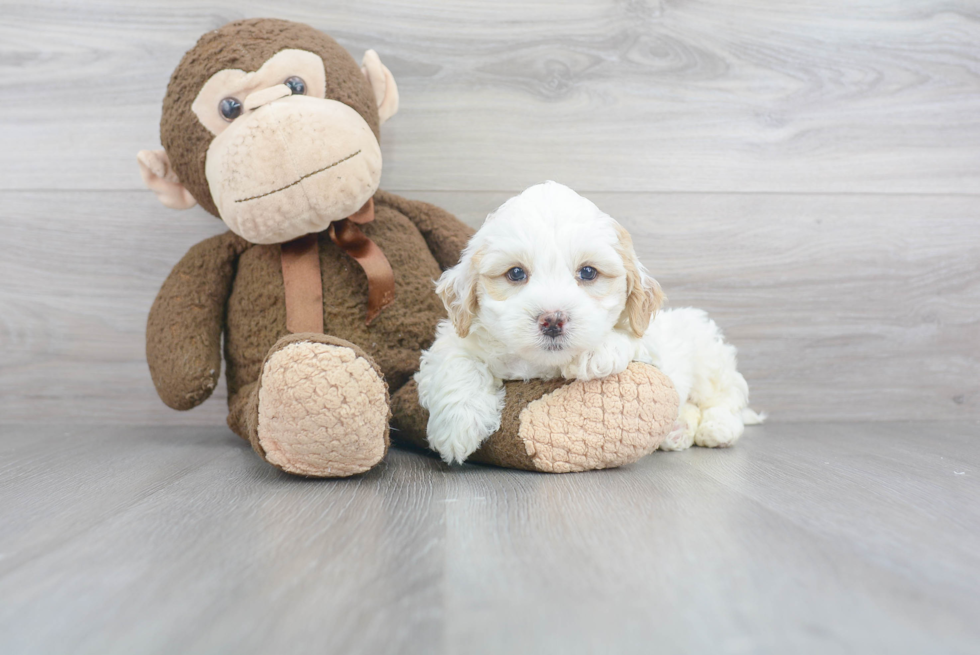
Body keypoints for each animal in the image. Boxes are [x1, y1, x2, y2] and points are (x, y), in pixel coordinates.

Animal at [418, 182, 760, 464]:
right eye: (515, 273)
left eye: (588, 272)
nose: (552, 320)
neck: (543, 365)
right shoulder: (457, 335)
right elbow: (456, 361)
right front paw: (457, 427)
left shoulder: (649, 345)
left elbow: (629, 338)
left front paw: (596, 352)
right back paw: (678, 430)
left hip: (709, 361)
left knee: (727, 398)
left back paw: (717, 428)